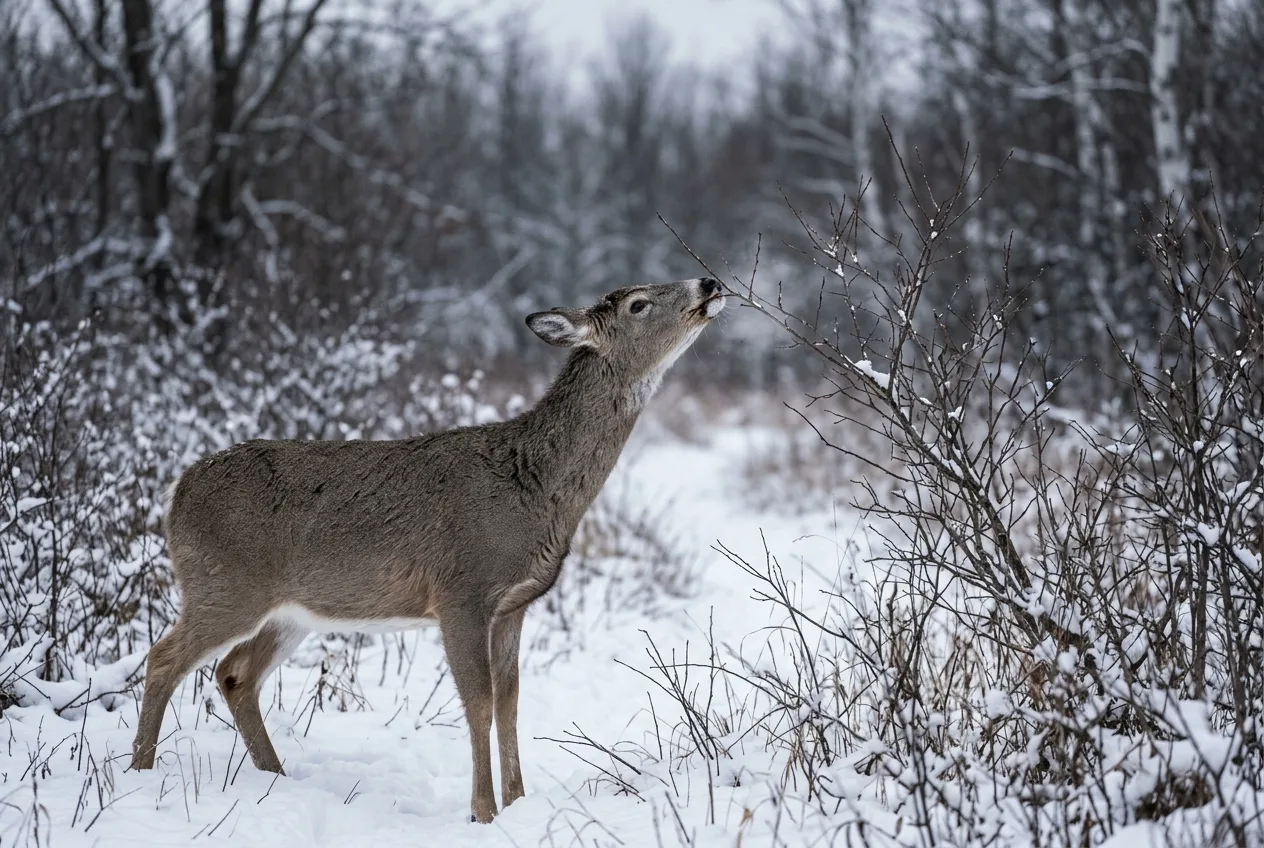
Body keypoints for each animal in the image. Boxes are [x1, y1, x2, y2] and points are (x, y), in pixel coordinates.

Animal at [129, 277, 726, 823]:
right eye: (639, 303)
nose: (710, 283)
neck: (534, 486)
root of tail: (176, 491)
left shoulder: (514, 604)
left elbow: (510, 703)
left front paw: (519, 803)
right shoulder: (461, 591)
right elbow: (479, 702)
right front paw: (483, 811)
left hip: (289, 610)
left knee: (235, 673)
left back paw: (274, 777)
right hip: (225, 583)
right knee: (163, 658)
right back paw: (141, 771)